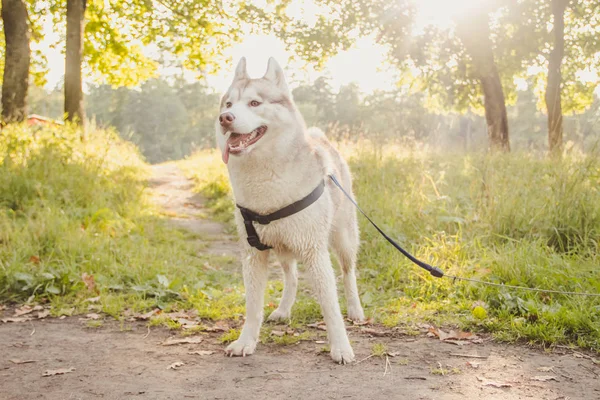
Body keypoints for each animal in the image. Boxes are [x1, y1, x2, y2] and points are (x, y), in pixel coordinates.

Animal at [217, 57, 366, 364]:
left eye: (254, 103)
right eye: (228, 104)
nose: (225, 118)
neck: (266, 177)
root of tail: (323, 139)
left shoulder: (315, 251)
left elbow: (331, 307)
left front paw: (341, 346)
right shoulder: (253, 254)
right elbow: (253, 306)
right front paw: (246, 341)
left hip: (343, 239)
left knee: (348, 274)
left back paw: (356, 310)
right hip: (283, 245)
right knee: (292, 277)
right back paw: (284, 310)